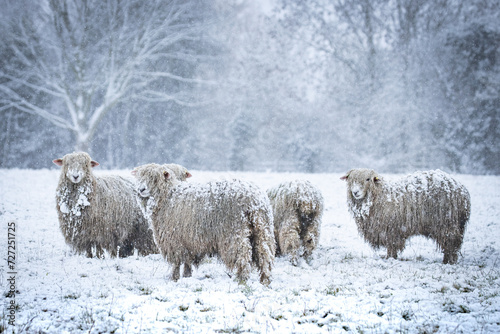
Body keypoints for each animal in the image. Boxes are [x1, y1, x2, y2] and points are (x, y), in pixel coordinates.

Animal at [131, 163, 276, 286]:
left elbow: (177, 262)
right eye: (140, 176)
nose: (141, 189)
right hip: (263, 229)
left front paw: (174, 278)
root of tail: (254, 201)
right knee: (264, 254)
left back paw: (242, 279)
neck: (167, 195)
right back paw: (265, 279)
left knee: (243, 254)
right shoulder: (188, 241)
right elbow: (187, 261)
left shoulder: (173, 239)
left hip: (234, 233)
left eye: (154, 178)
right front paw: (187, 276)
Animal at [342, 168, 470, 264]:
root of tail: (462, 190)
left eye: (368, 179)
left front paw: (390, 258)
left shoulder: (391, 230)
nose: (355, 192)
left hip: (447, 223)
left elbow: (392, 246)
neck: (378, 196)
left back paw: (449, 261)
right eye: (350, 179)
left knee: (451, 242)